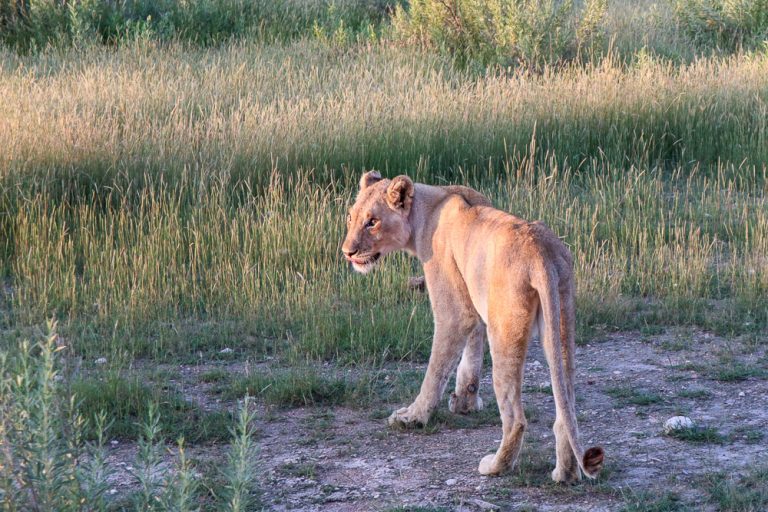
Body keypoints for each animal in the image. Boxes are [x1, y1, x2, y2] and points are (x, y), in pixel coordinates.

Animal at [341, 171, 604, 481]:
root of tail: (540, 250)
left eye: (372, 221)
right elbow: (471, 355)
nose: (347, 252)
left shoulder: (454, 310)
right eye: (351, 217)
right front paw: (465, 402)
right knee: (566, 408)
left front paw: (413, 417)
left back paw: (495, 466)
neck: (425, 211)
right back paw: (565, 474)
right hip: (561, 322)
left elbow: (437, 367)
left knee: (516, 418)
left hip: (504, 330)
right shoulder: (474, 299)